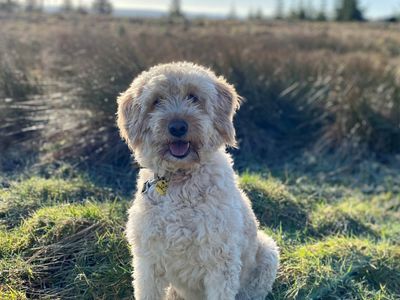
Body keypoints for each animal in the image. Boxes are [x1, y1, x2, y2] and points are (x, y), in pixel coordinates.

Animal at [115, 62, 278, 298]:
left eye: (193, 97)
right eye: (156, 101)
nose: (177, 127)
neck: (180, 180)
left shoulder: (221, 262)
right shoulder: (148, 262)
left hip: (268, 252)